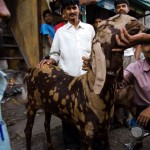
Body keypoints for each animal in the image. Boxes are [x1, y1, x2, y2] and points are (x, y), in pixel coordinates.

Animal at [24, 14, 141, 150]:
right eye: (104, 25)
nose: (134, 20)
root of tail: (35, 67)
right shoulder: (87, 131)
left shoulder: (104, 130)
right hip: (32, 103)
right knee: (27, 130)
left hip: (48, 106)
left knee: (46, 125)